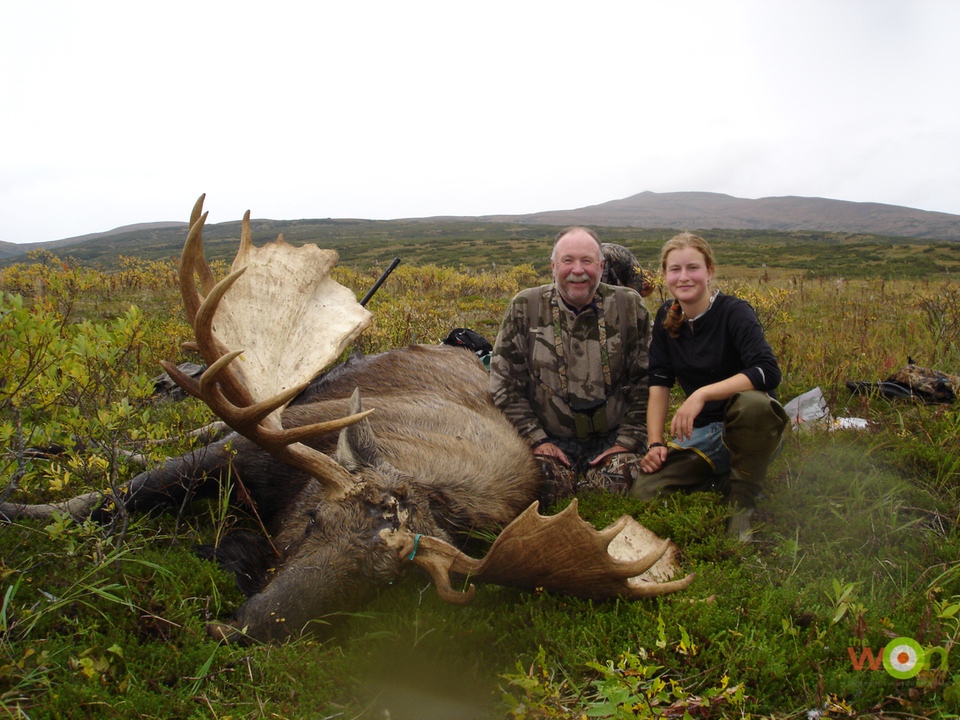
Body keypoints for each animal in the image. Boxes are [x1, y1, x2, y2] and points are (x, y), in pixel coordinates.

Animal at [0, 198, 688, 648]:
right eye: (315, 522)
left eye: (379, 583)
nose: (237, 632)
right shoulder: (258, 443)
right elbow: (99, 499)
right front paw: (23, 507)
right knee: (159, 443)